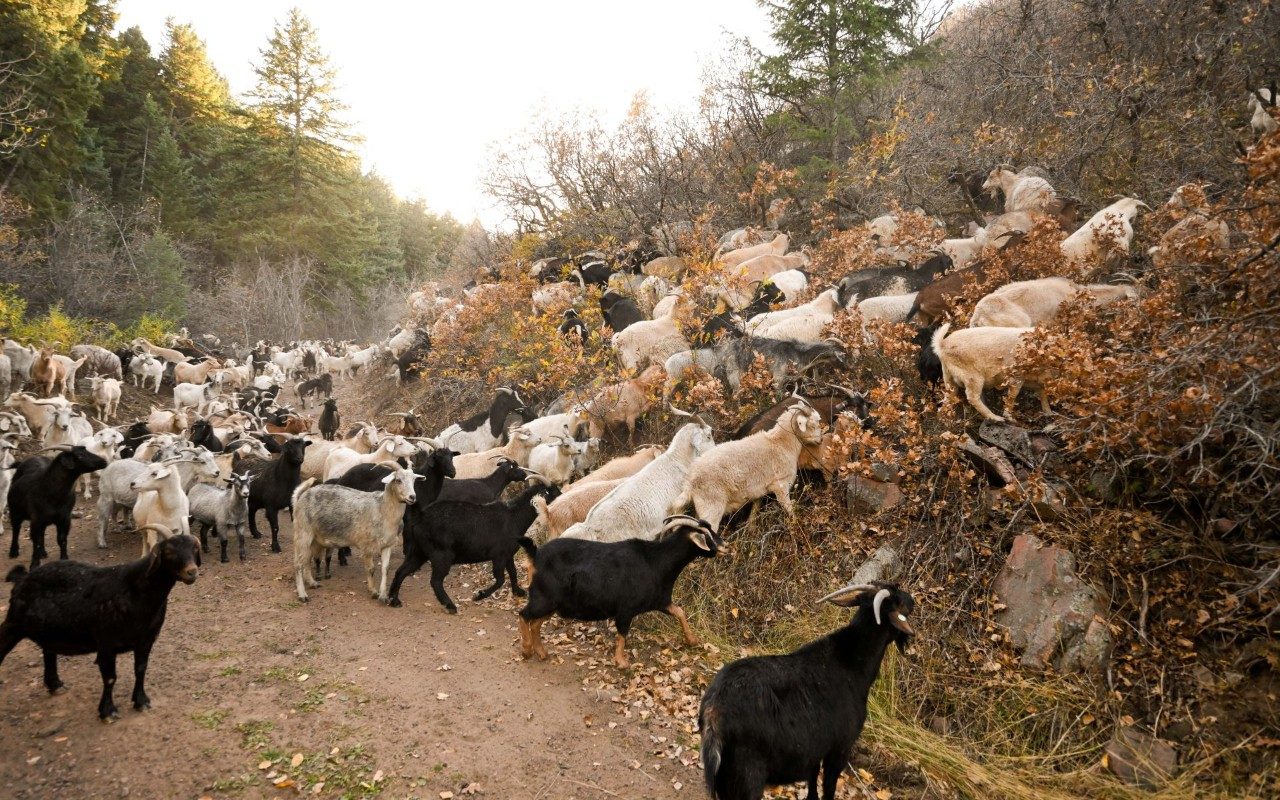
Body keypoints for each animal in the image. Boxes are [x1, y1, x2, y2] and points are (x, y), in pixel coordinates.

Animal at [0, 527, 199, 721]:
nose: (192, 571)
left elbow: (140, 669)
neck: (135, 591)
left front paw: (141, 701)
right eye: (169, 551)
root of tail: (22, 578)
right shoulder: (106, 643)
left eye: (195, 549)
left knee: (49, 652)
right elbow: (110, 678)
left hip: (48, 630)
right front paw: (108, 711)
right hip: (13, 624)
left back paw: (55, 685)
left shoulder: (146, 640)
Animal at [381, 481, 558, 611]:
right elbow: (500, 579)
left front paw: (518, 591)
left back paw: (394, 599)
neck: (514, 516)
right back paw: (450, 605)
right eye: (553, 491)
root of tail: (421, 516)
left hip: (418, 552)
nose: (563, 495)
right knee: (435, 581)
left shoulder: (508, 555)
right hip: (441, 556)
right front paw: (480, 595)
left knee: (401, 571)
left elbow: (513, 573)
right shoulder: (499, 556)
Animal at [519, 512, 721, 665]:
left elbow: (679, 611)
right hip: (544, 597)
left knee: (535, 622)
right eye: (707, 536)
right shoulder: (626, 609)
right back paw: (527, 650)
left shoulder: (661, 600)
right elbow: (622, 632)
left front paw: (692, 640)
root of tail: (535, 555)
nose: (723, 545)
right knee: (524, 615)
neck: (656, 561)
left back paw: (541, 653)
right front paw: (621, 662)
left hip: (553, 603)